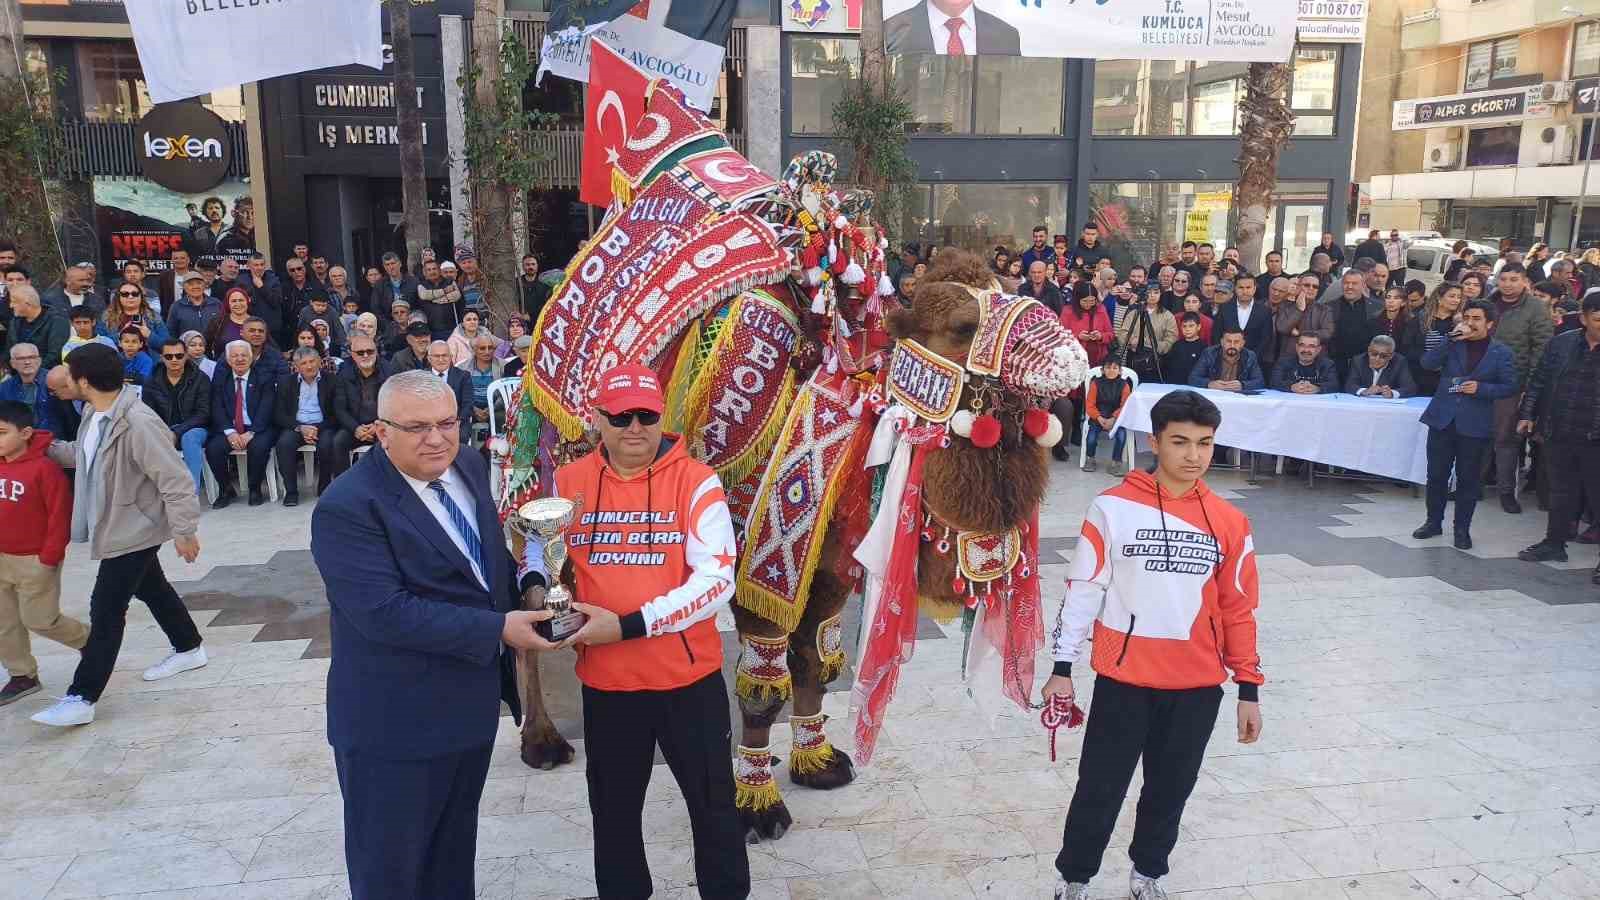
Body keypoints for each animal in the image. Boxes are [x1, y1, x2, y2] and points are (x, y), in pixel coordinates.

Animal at [492, 78, 1081, 839]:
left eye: (1008, 290)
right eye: (959, 323)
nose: (1071, 355)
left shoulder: (828, 567)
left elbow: (817, 661)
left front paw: (816, 759)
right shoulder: (755, 559)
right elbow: (763, 682)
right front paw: (758, 802)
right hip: (534, 501)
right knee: (531, 610)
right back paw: (542, 739)